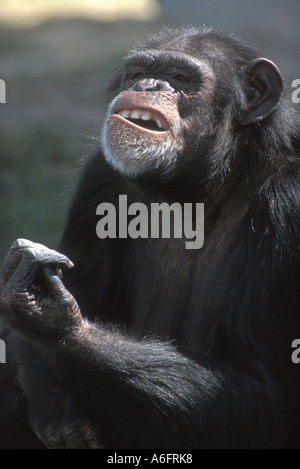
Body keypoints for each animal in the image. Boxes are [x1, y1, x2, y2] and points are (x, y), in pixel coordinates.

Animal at [0, 26, 300, 450]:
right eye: (139, 71)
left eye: (180, 78)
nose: (148, 85)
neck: (201, 184)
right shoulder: (100, 181)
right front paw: (54, 401)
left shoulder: (288, 203)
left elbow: (256, 387)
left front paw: (55, 319)